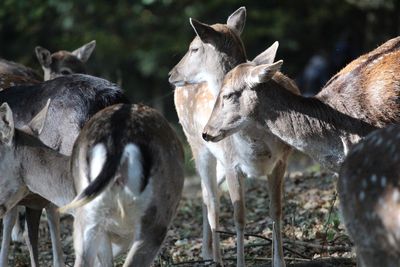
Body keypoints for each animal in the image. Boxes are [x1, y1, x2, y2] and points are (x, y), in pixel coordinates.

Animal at [166, 6, 300, 267]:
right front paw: (239, 262)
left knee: (207, 195)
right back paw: (215, 257)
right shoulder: (231, 163)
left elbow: (276, 210)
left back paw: (207, 252)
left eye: (194, 47)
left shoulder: (281, 161)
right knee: (212, 200)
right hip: (196, 144)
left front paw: (279, 261)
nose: (171, 74)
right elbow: (239, 217)